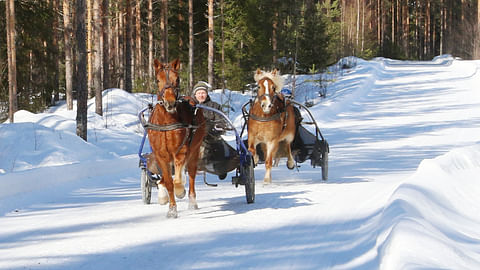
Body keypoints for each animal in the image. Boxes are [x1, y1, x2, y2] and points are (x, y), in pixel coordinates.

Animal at [147, 58, 205, 217]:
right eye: (157, 79)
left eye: (177, 79)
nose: (170, 102)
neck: (167, 122)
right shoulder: (160, 155)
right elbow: (168, 182)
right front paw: (171, 208)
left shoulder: (181, 151)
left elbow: (177, 181)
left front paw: (180, 191)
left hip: (194, 149)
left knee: (191, 174)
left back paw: (192, 201)